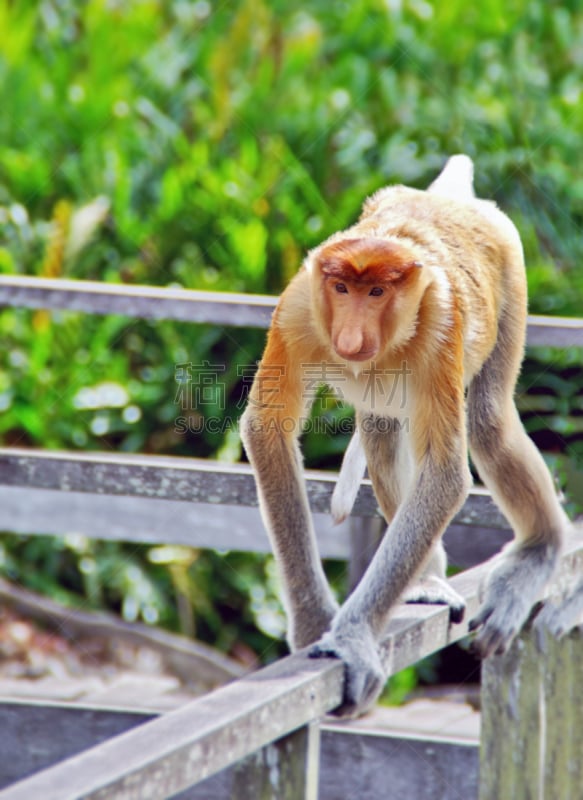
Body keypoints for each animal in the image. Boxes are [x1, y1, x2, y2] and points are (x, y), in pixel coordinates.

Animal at [240, 153, 572, 716]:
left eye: (377, 292)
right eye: (341, 289)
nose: (351, 338)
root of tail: (445, 198)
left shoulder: (439, 330)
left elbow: (444, 470)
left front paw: (351, 640)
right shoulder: (299, 311)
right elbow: (268, 429)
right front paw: (312, 622)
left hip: (510, 265)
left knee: (489, 423)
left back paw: (536, 555)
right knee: (383, 430)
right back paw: (423, 584)